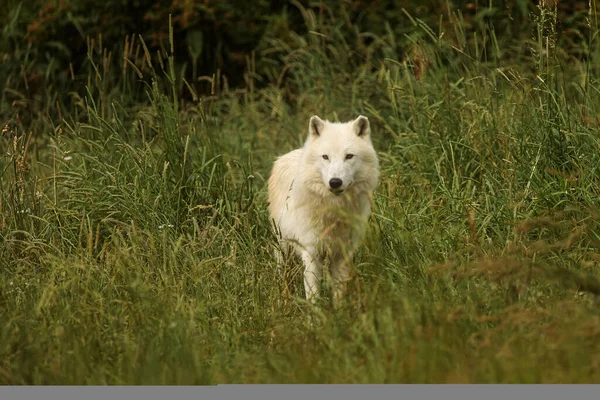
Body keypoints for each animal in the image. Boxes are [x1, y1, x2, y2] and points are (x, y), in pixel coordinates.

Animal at [268, 115, 380, 306]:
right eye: (325, 157)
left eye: (349, 156)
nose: (335, 182)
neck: (334, 210)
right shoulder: (311, 252)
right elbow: (313, 295)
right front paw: (315, 314)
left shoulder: (342, 254)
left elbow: (339, 292)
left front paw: (339, 312)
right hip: (283, 247)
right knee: (282, 274)